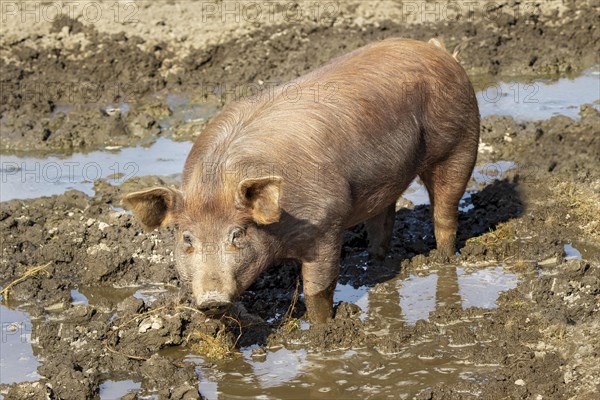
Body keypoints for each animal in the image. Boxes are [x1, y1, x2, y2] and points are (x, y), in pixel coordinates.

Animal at [124, 37, 480, 324]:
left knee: (445, 212)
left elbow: (318, 289)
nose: (212, 299)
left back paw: (443, 260)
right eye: (187, 239)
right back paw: (378, 266)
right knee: (382, 220)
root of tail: (438, 50)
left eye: (237, 234)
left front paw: (323, 331)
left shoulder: (326, 223)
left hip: (461, 141)